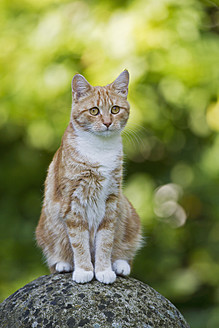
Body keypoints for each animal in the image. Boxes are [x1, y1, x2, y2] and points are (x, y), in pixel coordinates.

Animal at [36, 70, 142, 284]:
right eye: (94, 111)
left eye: (115, 109)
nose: (108, 123)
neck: (100, 149)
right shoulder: (72, 204)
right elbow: (79, 242)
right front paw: (85, 270)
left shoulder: (111, 201)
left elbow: (105, 241)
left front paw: (103, 270)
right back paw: (63, 264)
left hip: (127, 211)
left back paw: (120, 264)